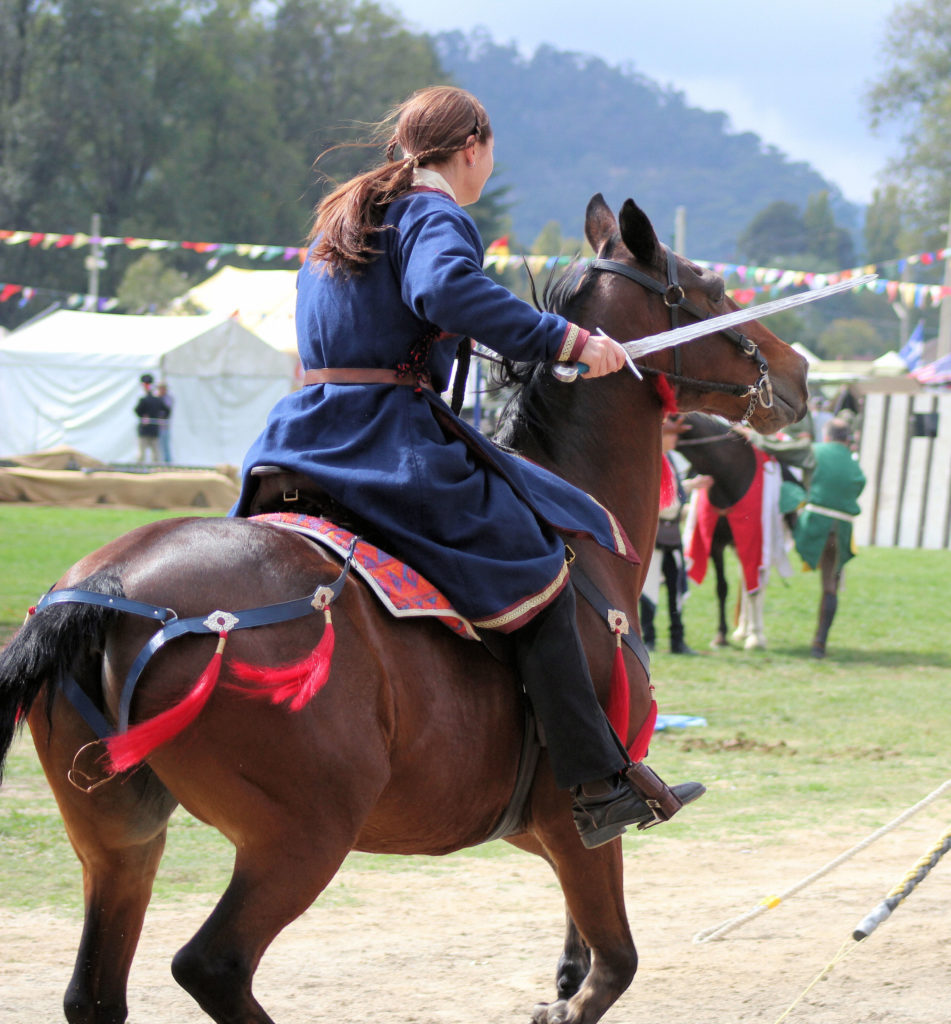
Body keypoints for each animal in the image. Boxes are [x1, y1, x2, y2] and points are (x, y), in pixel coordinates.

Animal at [0, 193, 806, 1024]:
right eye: (708, 289)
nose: (797, 369)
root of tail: (112, 591)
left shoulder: (528, 827)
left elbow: (577, 957)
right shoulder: (571, 814)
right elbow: (612, 965)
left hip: (119, 839)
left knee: (97, 991)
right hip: (300, 837)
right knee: (212, 964)